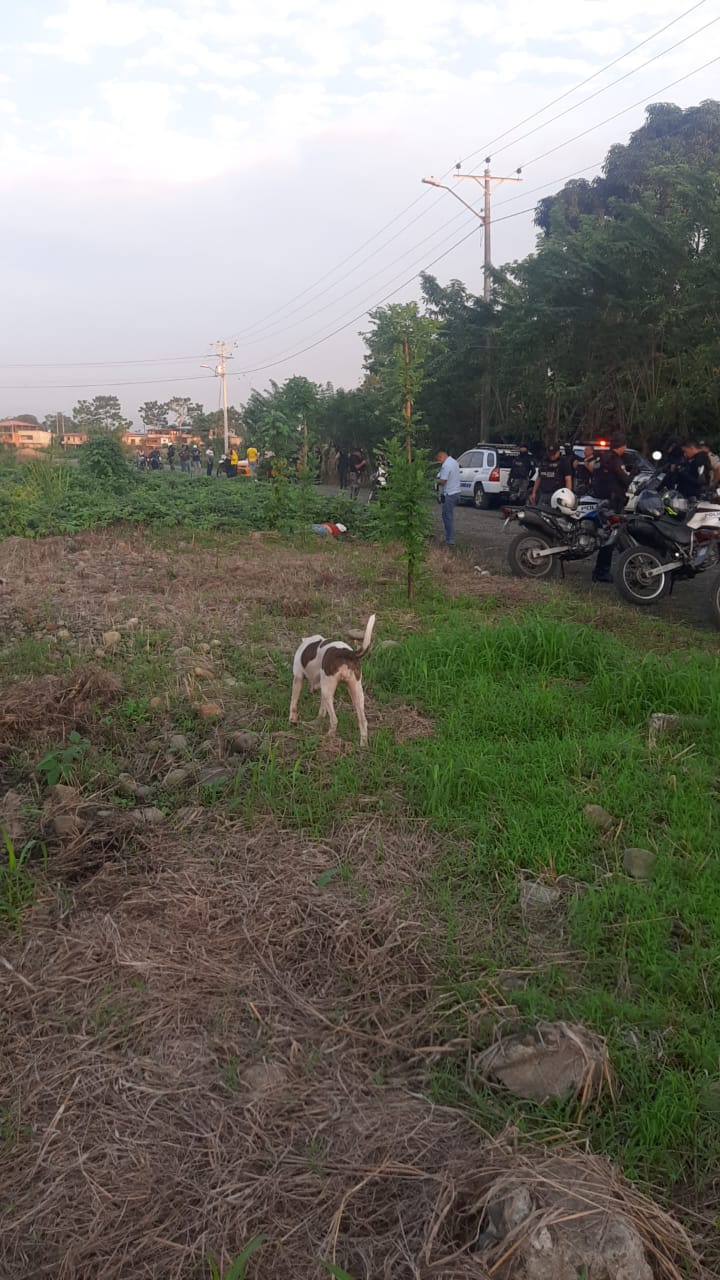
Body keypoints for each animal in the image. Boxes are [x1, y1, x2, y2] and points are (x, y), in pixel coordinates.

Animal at [286, 611, 376, 747]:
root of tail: (348, 653)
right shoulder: (321, 686)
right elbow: (322, 711)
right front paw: (316, 722)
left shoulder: (298, 678)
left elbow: (293, 702)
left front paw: (292, 719)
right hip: (355, 692)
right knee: (363, 721)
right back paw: (363, 745)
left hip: (329, 691)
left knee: (334, 719)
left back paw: (329, 737)